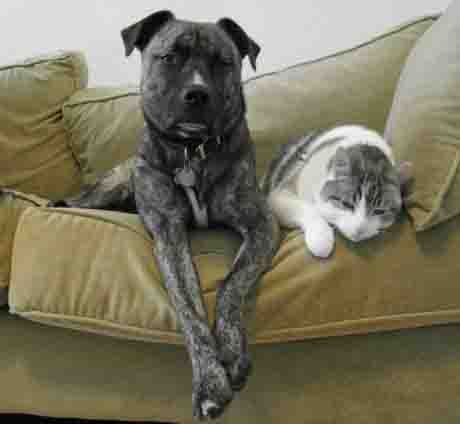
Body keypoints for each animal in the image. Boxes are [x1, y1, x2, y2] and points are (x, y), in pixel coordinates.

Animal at [52, 9, 278, 420]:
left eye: (223, 62)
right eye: (170, 57)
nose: (197, 94)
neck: (192, 151)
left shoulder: (260, 223)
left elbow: (231, 284)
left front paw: (230, 352)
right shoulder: (169, 235)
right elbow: (189, 309)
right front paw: (211, 381)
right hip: (110, 188)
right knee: (79, 201)